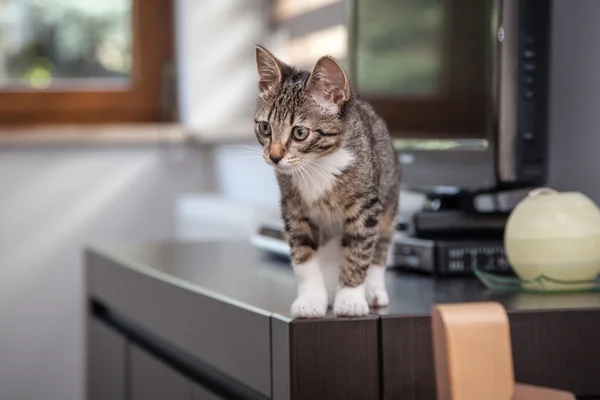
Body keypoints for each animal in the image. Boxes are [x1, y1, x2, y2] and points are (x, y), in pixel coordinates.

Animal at [254, 47, 404, 318]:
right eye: (265, 128)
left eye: (299, 132)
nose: (275, 156)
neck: (316, 166)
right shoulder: (293, 210)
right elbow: (303, 255)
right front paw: (311, 299)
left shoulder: (367, 207)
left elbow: (358, 252)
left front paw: (351, 299)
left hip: (389, 200)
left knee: (379, 250)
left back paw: (373, 290)